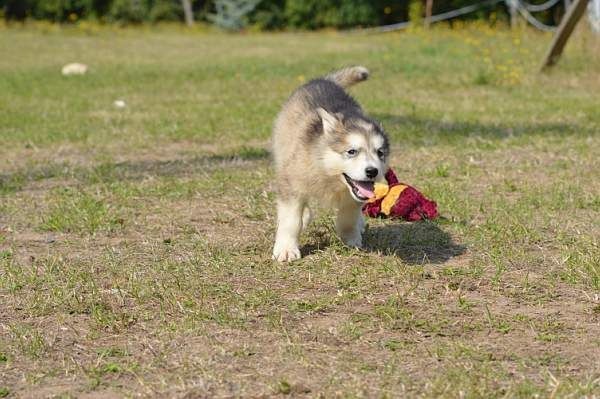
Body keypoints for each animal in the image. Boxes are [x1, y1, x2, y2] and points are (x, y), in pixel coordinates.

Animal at [272, 65, 390, 262]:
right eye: (351, 151)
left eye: (380, 153)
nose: (372, 171)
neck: (328, 174)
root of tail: (324, 80)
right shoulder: (291, 182)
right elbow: (291, 219)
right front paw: (286, 249)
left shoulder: (353, 197)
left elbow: (348, 216)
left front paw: (351, 238)